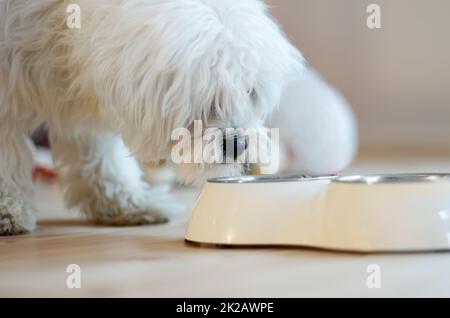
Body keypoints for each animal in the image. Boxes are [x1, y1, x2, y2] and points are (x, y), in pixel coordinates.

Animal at [0, 0, 304, 234]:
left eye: (249, 90)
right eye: (203, 94)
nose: (238, 145)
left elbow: (100, 153)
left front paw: (125, 202)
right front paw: (9, 209)